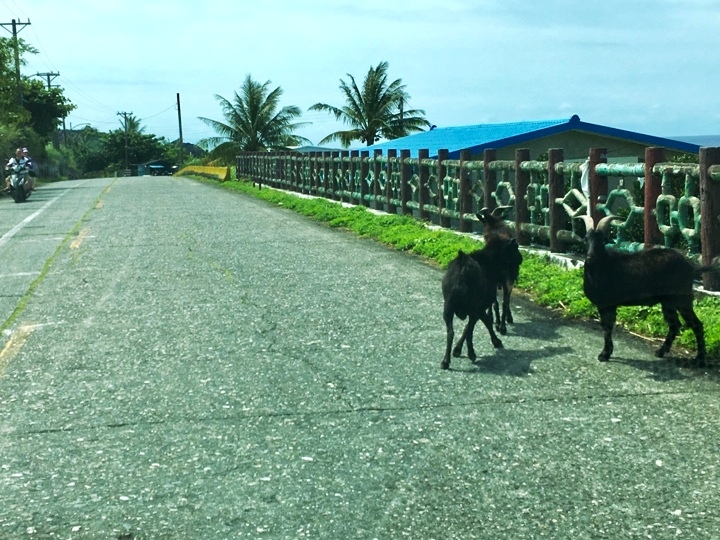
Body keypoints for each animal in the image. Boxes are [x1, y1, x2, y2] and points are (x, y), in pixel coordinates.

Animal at [478, 206, 524, 334]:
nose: (521, 259)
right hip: (507, 278)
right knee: (503, 302)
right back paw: (501, 326)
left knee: (500, 302)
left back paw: (500, 325)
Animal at [584, 215, 716, 368]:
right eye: (586, 239)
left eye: (602, 240)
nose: (590, 257)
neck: (604, 266)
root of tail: (690, 267)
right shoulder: (603, 305)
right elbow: (606, 327)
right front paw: (607, 353)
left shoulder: (608, 304)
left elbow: (607, 328)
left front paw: (604, 354)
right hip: (668, 302)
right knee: (675, 325)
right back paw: (661, 351)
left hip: (682, 299)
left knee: (696, 324)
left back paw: (699, 359)